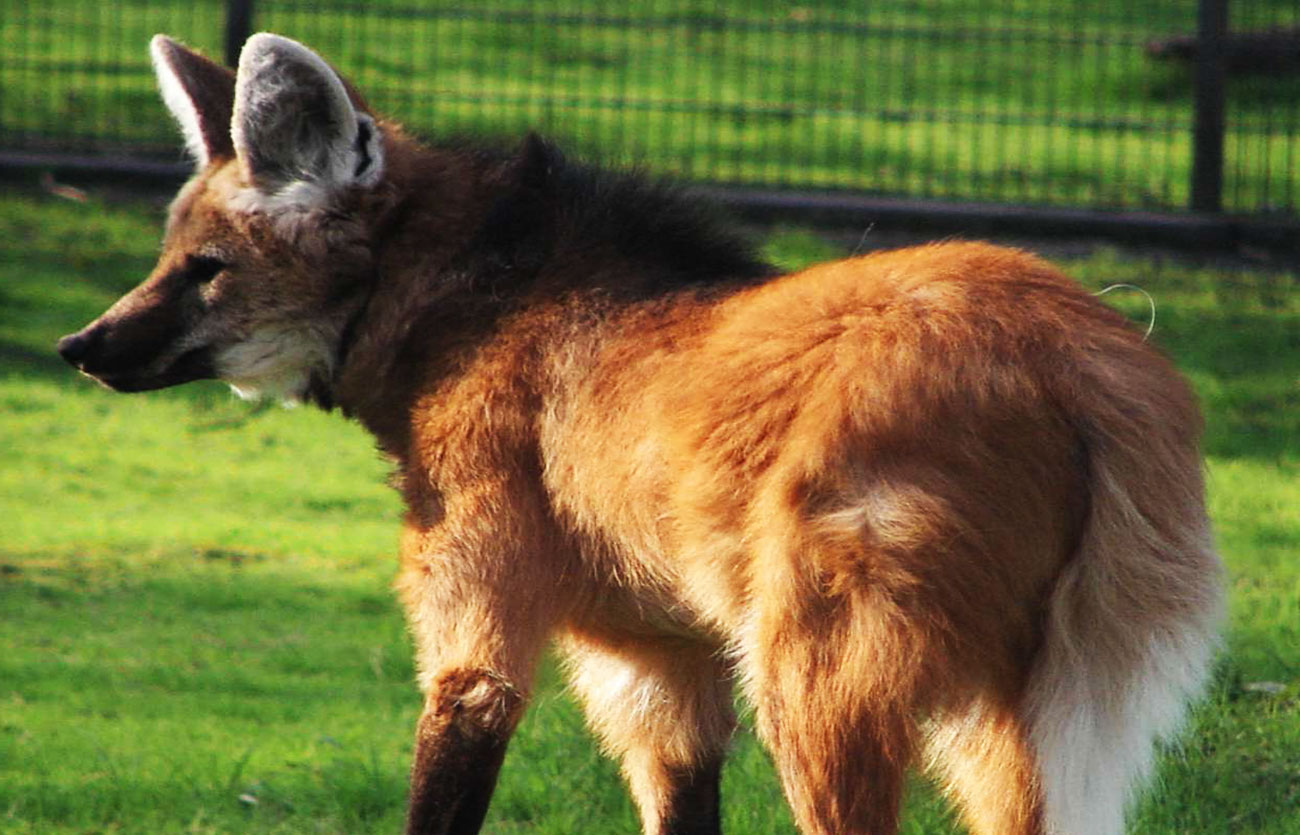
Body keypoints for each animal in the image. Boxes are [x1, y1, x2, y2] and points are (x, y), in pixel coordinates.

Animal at [58, 32, 1216, 832]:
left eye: (206, 269)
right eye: (167, 258)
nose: (80, 344)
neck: (465, 310)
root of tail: (1089, 357)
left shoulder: (483, 636)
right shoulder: (659, 662)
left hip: (815, 674)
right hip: (1005, 700)